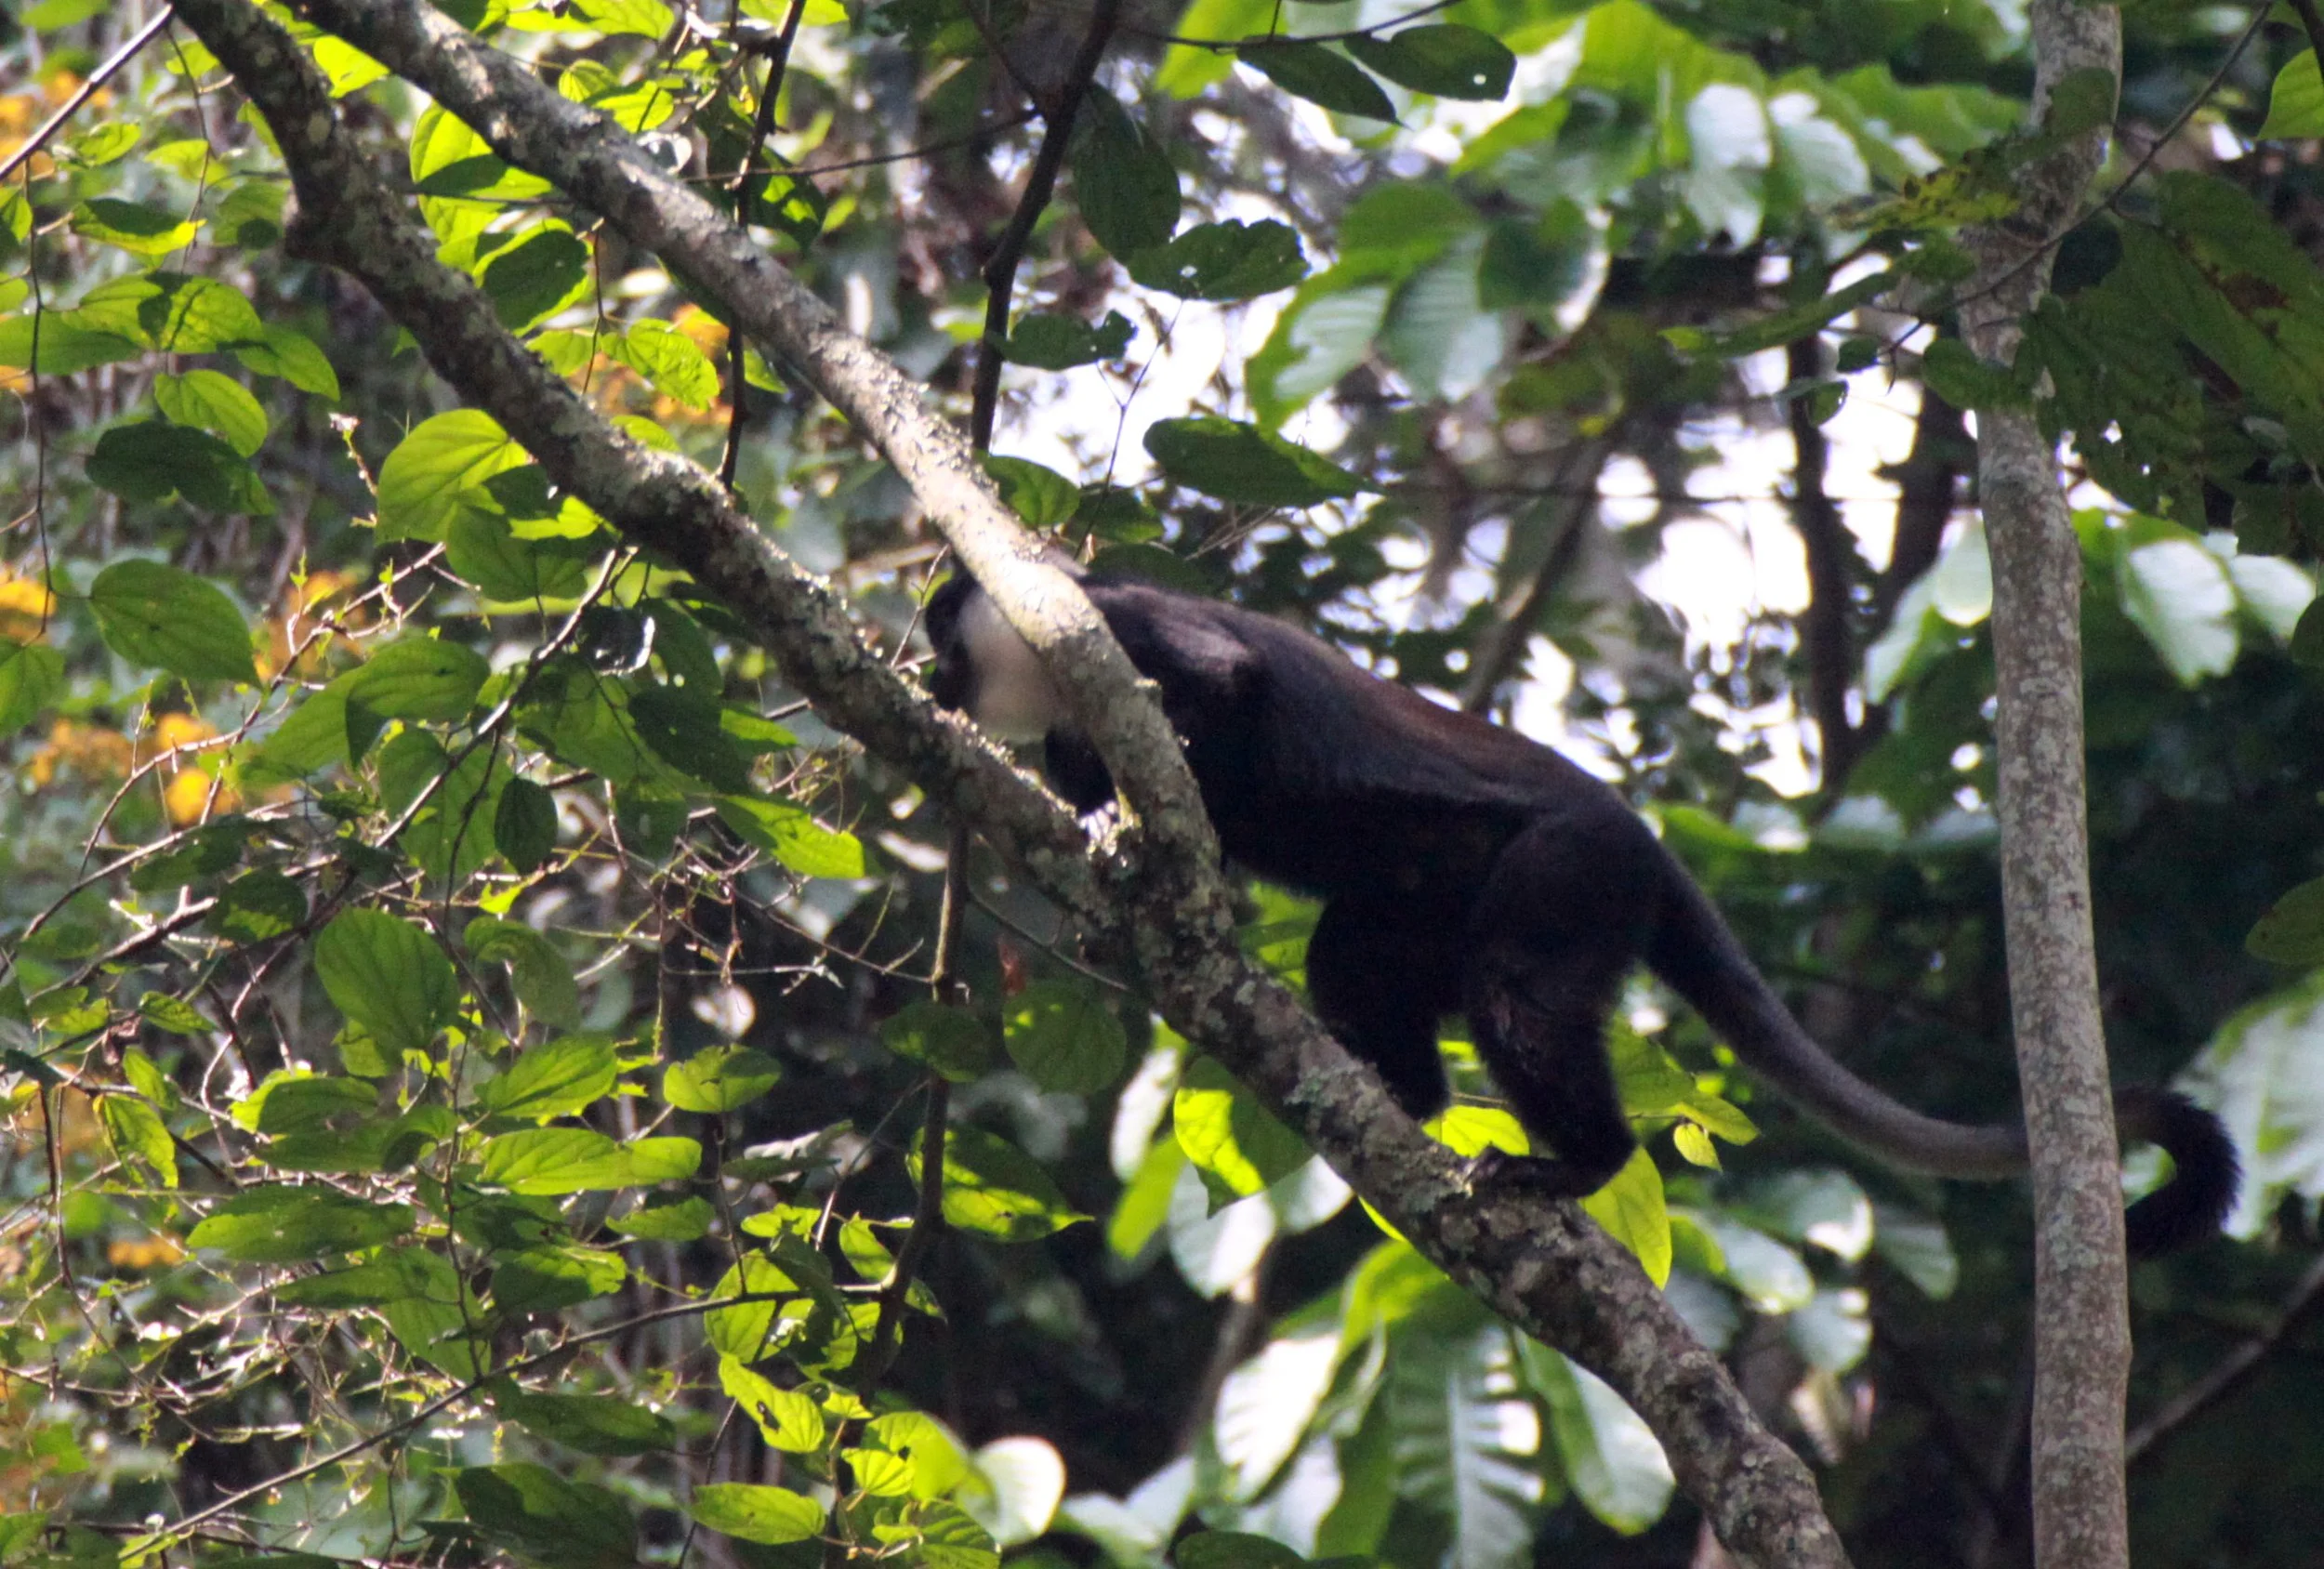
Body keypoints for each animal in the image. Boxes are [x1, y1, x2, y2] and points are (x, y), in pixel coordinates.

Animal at [924, 568, 2240, 1255]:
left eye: (947, 639)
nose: (933, 674)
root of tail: (1641, 837)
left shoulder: (1105, 622)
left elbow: (1225, 686)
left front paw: (1148, 821)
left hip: (1576, 868)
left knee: (1516, 986)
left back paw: (1577, 1159)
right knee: (1358, 951)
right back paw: (1398, 1092)